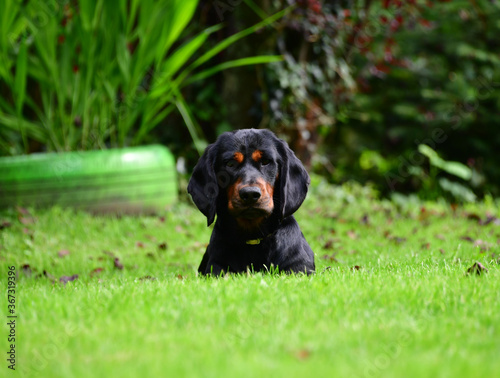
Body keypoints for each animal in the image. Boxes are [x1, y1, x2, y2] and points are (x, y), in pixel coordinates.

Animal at [186, 128, 314, 276]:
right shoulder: (217, 269)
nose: (250, 194)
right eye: (230, 164)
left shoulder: (299, 268)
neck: (253, 239)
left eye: (265, 161)